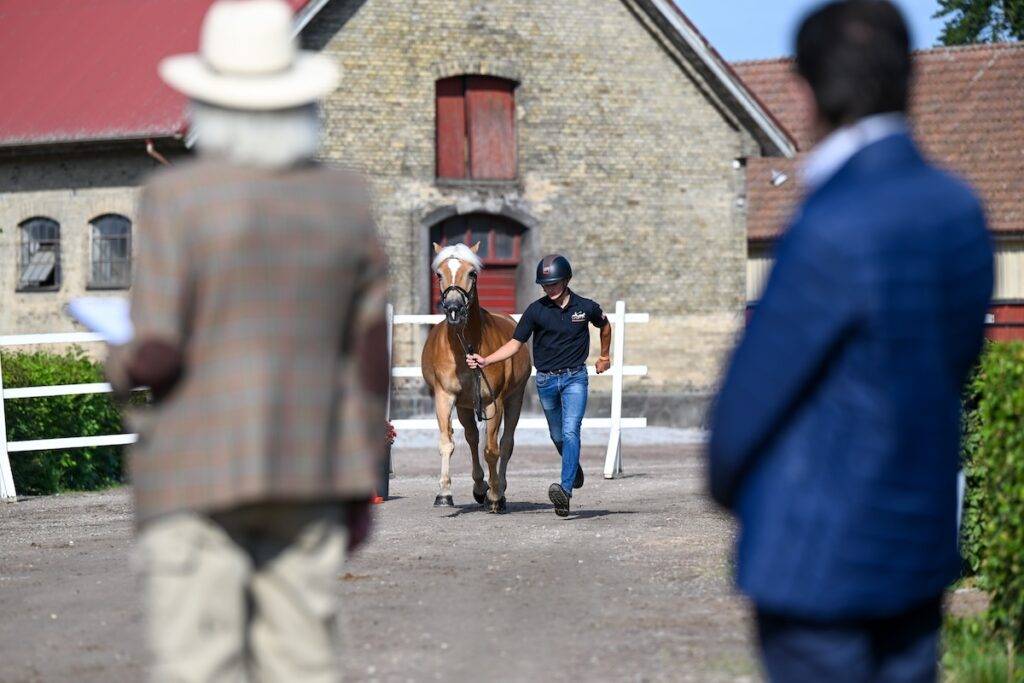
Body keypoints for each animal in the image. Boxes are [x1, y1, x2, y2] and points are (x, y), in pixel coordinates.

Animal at [421, 242, 532, 513]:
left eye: (472, 273)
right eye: (438, 274)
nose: (453, 309)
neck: (465, 348)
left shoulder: (495, 402)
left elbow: (492, 450)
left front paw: (495, 497)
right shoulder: (444, 397)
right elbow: (447, 443)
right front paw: (444, 494)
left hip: (515, 399)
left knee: (506, 443)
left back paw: (498, 489)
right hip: (464, 406)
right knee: (472, 439)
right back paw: (480, 488)